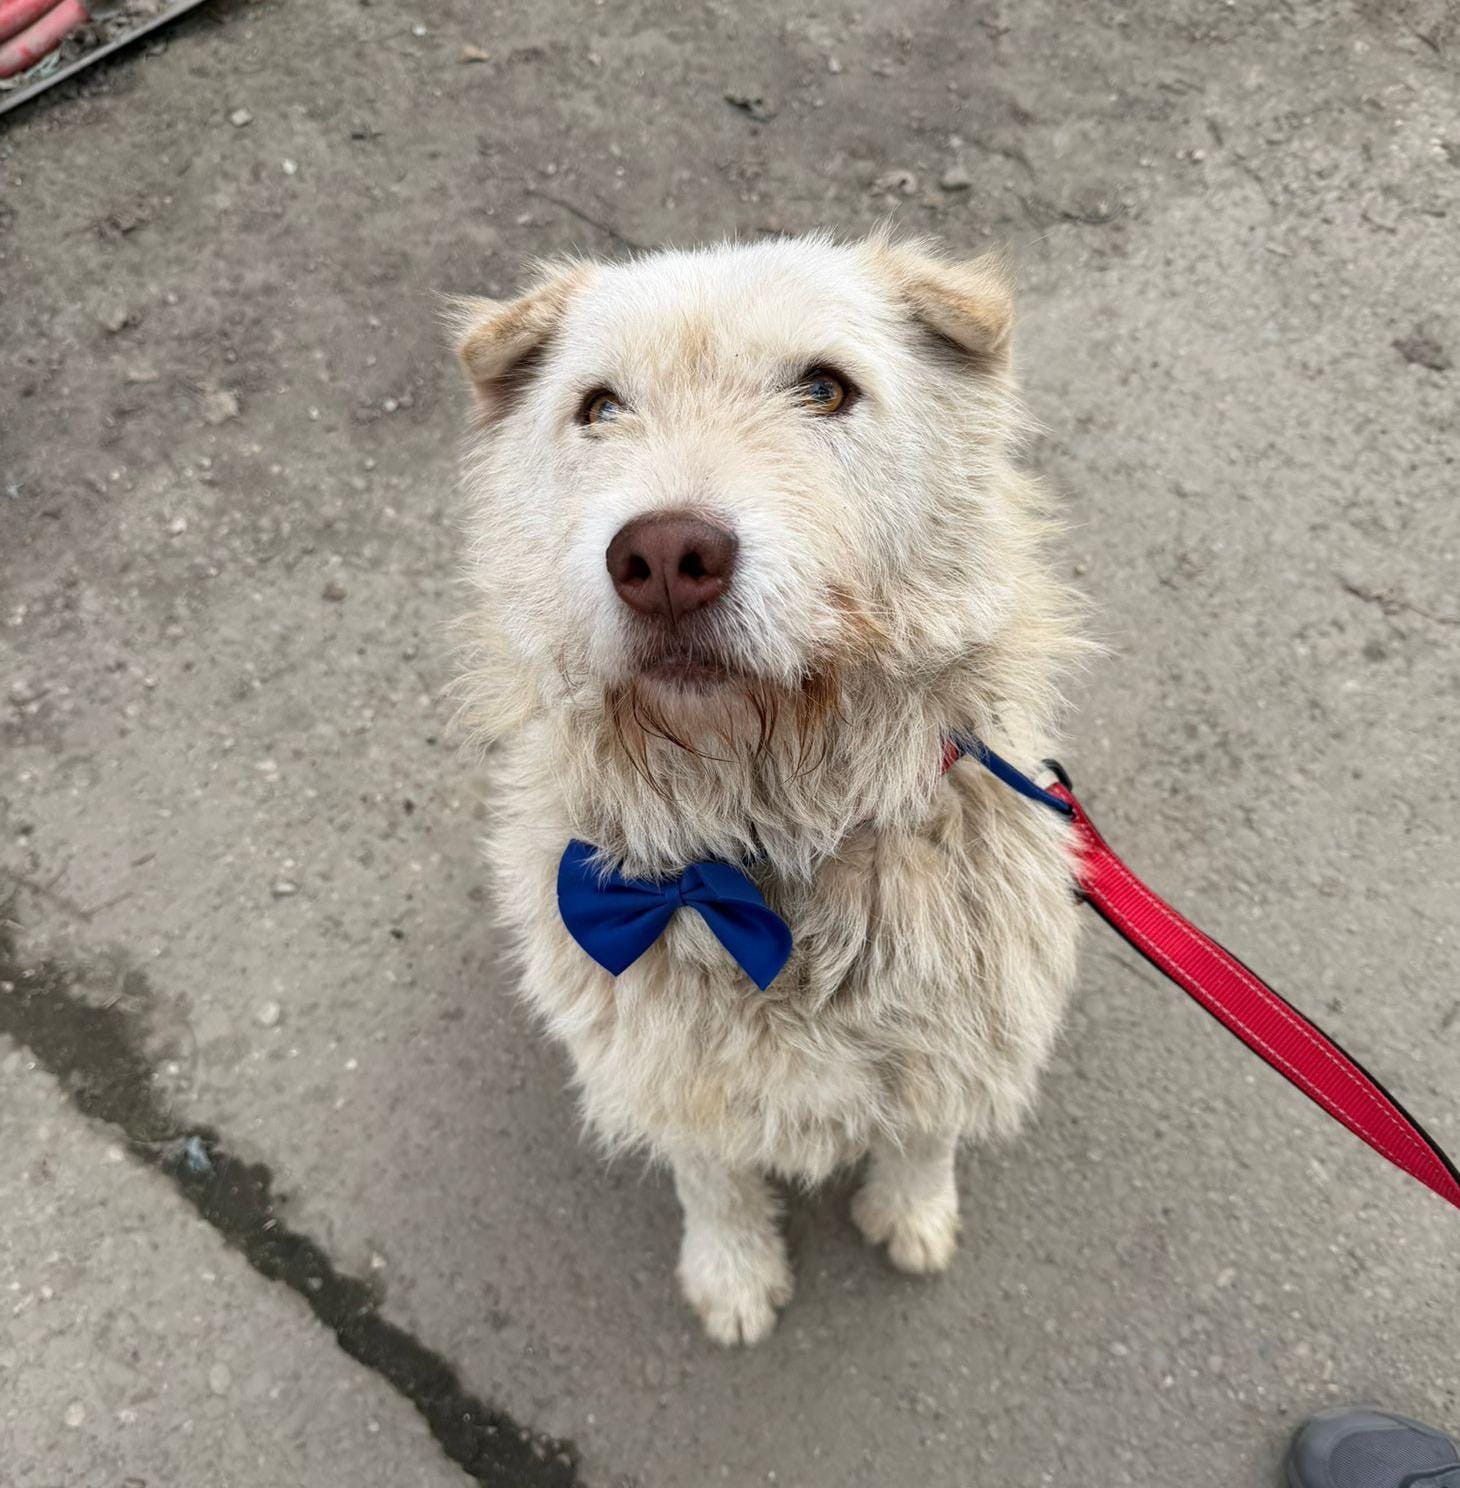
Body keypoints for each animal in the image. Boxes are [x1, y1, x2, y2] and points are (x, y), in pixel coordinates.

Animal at [452, 231, 1085, 1346]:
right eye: (598, 406)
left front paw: (913, 1213)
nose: (665, 556)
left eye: (824, 388)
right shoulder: (668, 1070)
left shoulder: (966, 1029)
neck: (760, 851)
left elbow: (923, 1133)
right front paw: (733, 1274)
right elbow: (711, 1177)